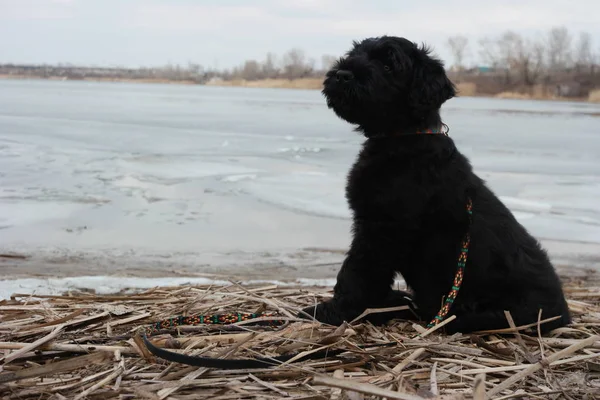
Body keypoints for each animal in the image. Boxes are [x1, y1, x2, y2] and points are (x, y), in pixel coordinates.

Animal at [300, 36, 572, 334]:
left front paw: (333, 311)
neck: (405, 138)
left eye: (388, 64)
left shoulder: (381, 228)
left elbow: (357, 272)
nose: (342, 74)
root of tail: (564, 314)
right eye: (355, 53)